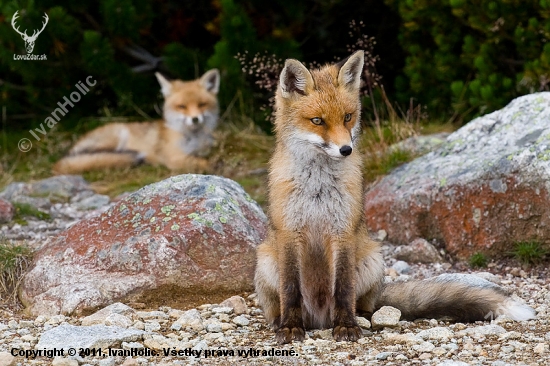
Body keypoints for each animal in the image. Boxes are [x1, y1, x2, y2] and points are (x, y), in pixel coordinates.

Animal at [54, 70, 221, 176]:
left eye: (202, 104)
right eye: (182, 107)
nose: (195, 119)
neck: (194, 138)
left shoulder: (203, 150)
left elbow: (202, 157)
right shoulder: (173, 157)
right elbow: (199, 161)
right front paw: (212, 166)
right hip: (116, 137)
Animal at [254, 50, 536, 344]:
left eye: (347, 117)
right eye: (318, 121)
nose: (346, 149)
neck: (317, 187)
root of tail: (319, 318)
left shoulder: (342, 232)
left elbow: (343, 288)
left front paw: (346, 325)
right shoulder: (290, 233)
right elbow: (291, 290)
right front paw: (290, 327)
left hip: (373, 260)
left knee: (365, 305)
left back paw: (360, 318)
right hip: (266, 261)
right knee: (280, 303)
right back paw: (280, 321)